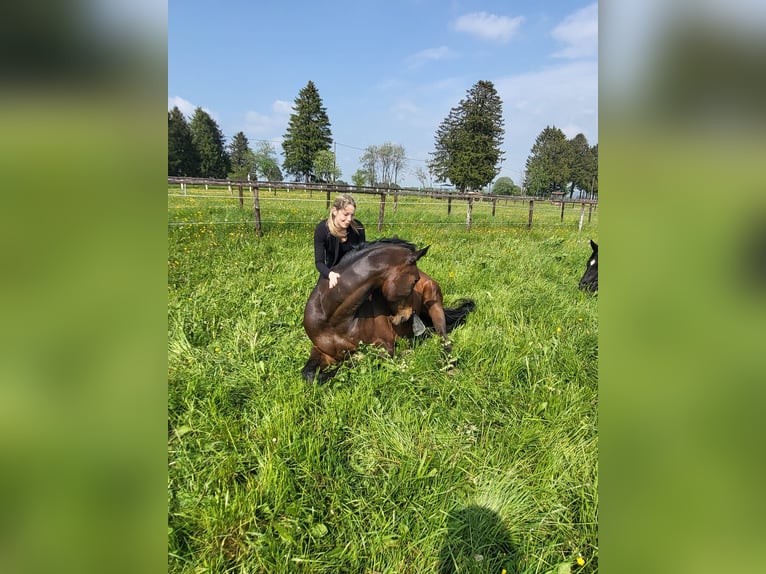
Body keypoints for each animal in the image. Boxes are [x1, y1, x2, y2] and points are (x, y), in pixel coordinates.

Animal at [304, 238, 474, 388]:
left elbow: (357, 360)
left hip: (434, 304)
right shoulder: (321, 351)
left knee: (444, 338)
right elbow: (309, 375)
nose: (406, 316)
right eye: (414, 280)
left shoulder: (384, 347)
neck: (336, 320)